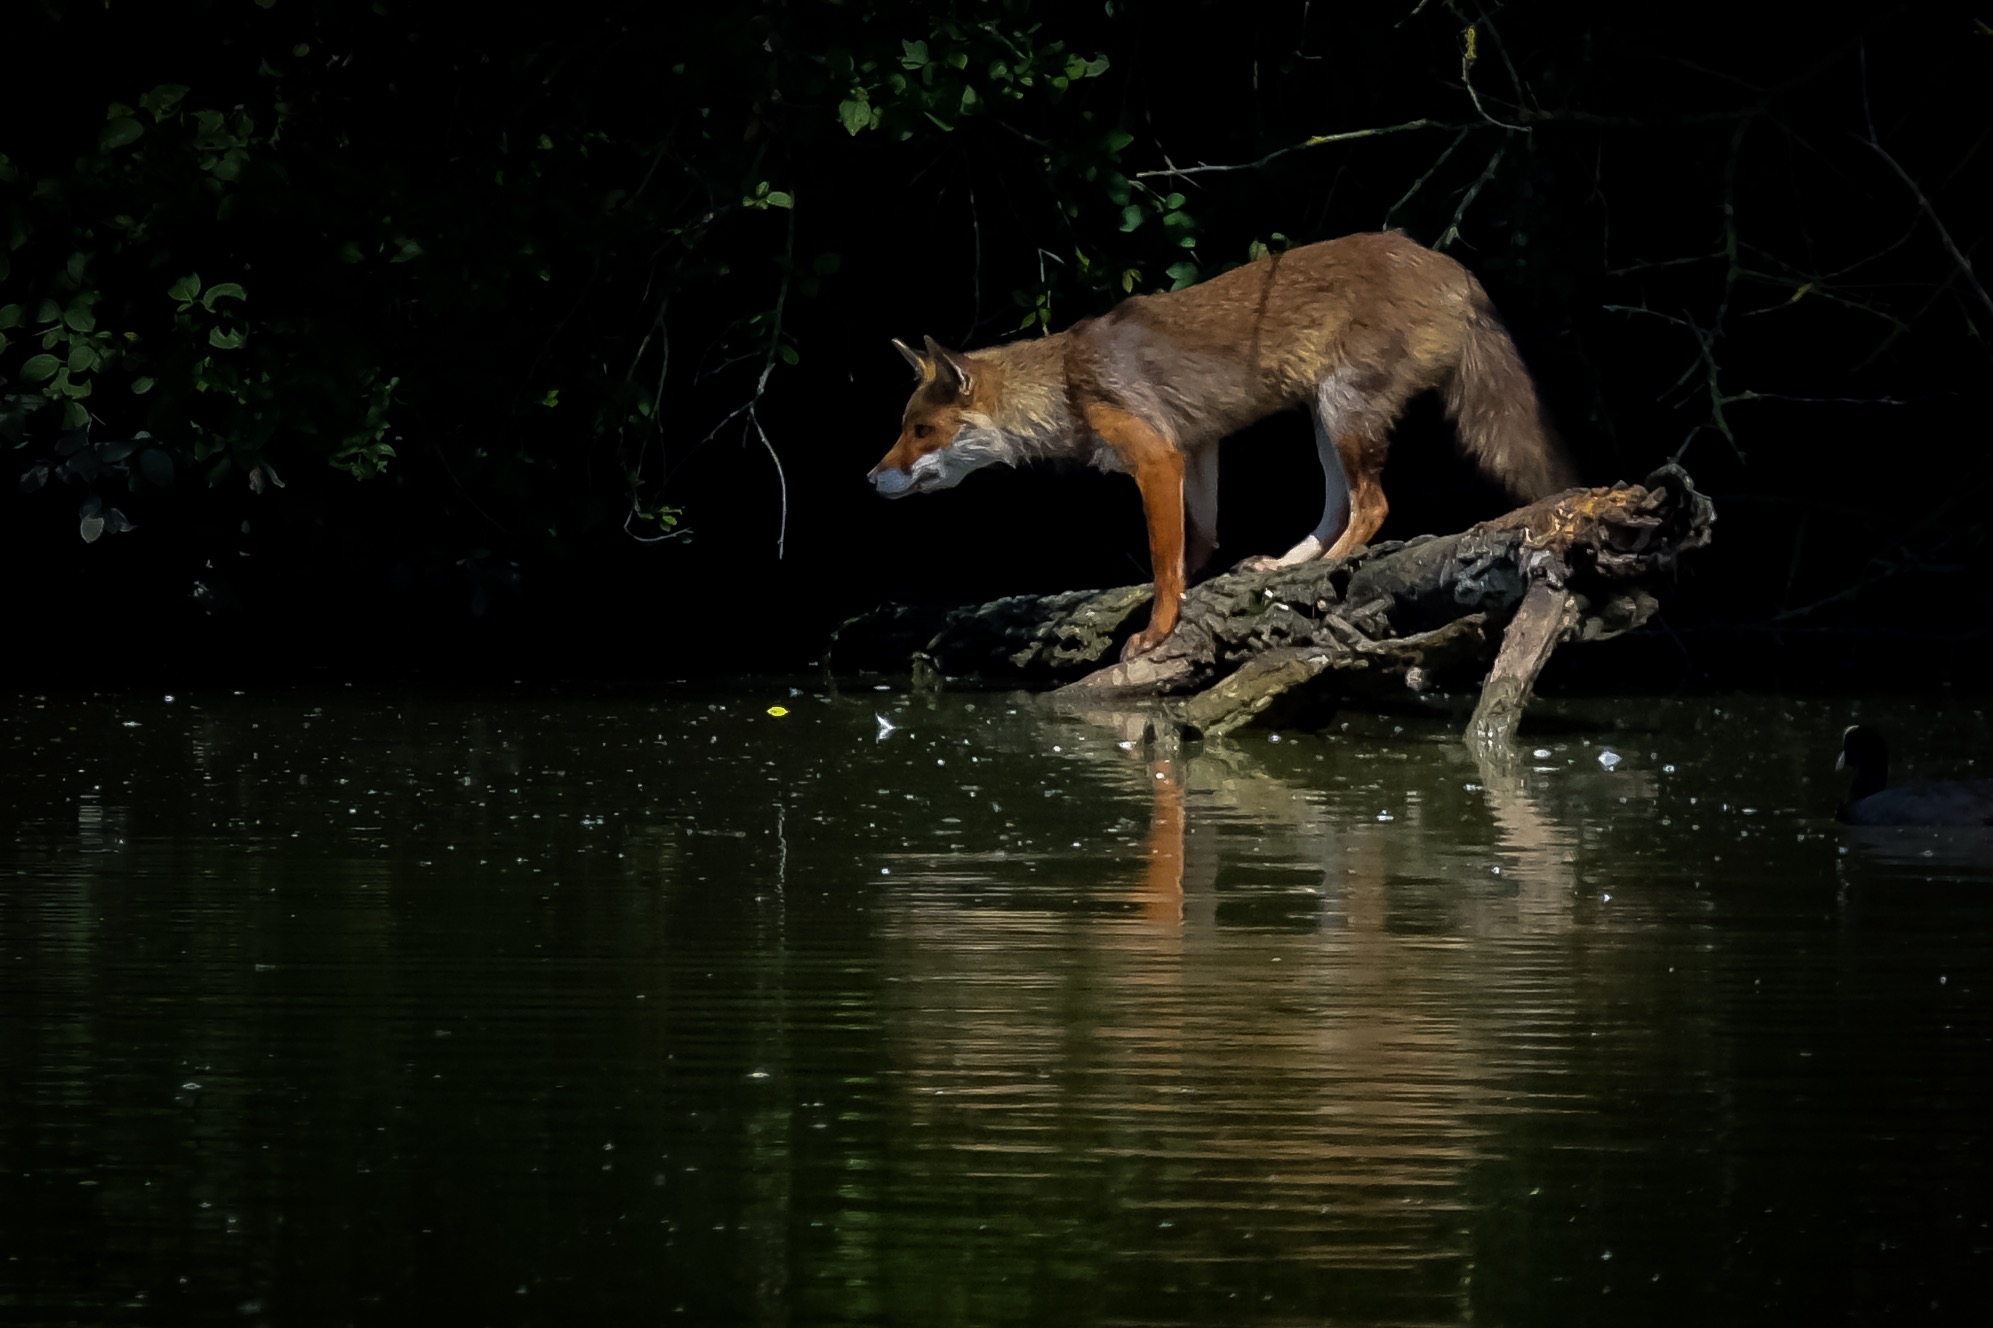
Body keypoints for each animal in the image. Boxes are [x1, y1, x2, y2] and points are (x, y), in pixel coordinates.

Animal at [868, 230, 1576, 661]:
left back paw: (1323, 566)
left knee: (1374, 505)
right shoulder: (1197, 447)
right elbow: (1196, 544)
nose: (871, 479)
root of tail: (1448, 263)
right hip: (1321, 420)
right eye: (903, 427)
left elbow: (1163, 559)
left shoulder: (1156, 456)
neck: (1069, 379)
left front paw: (1155, 632)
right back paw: (1287, 564)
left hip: (1342, 409)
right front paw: (1177, 596)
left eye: (921, 432)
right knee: (1340, 506)